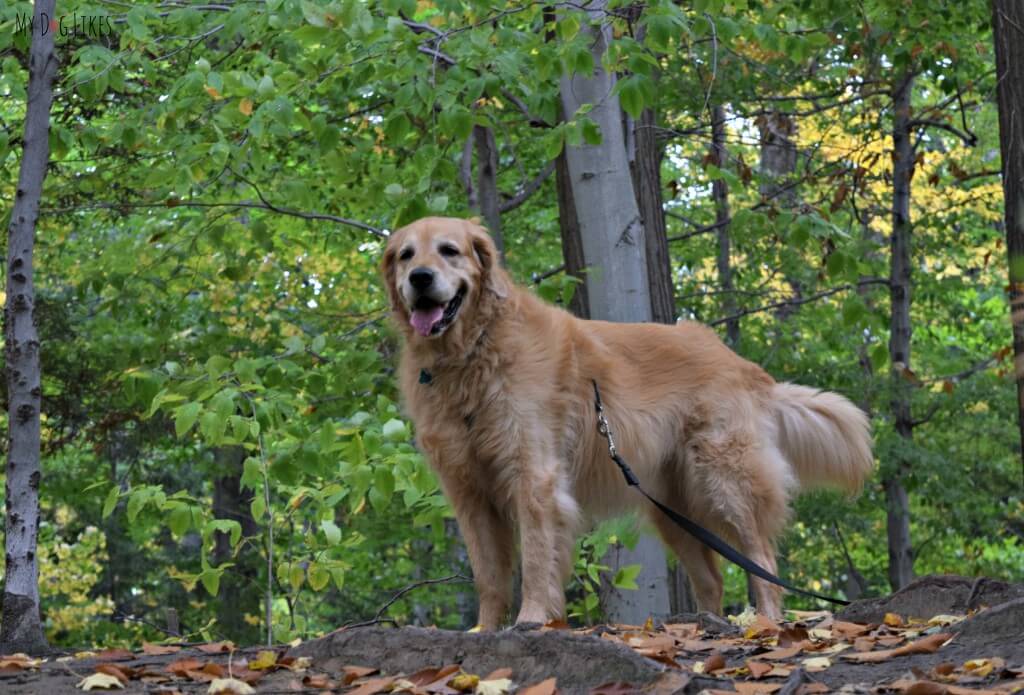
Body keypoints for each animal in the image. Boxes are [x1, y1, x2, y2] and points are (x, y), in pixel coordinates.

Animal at [385, 215, 872, 626]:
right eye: (406, 255)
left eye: (449, 250)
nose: (419, 278)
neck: (472, 353)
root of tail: (741, 364)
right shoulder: (469, 492)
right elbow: (488, 575)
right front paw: (484, 631)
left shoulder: (534, 476)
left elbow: (538, 558)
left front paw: (532, 620)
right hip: (673, 508)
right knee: (713, 578)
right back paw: (707, 627)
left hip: (725, 482)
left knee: (763, 561)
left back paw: (764, 625)